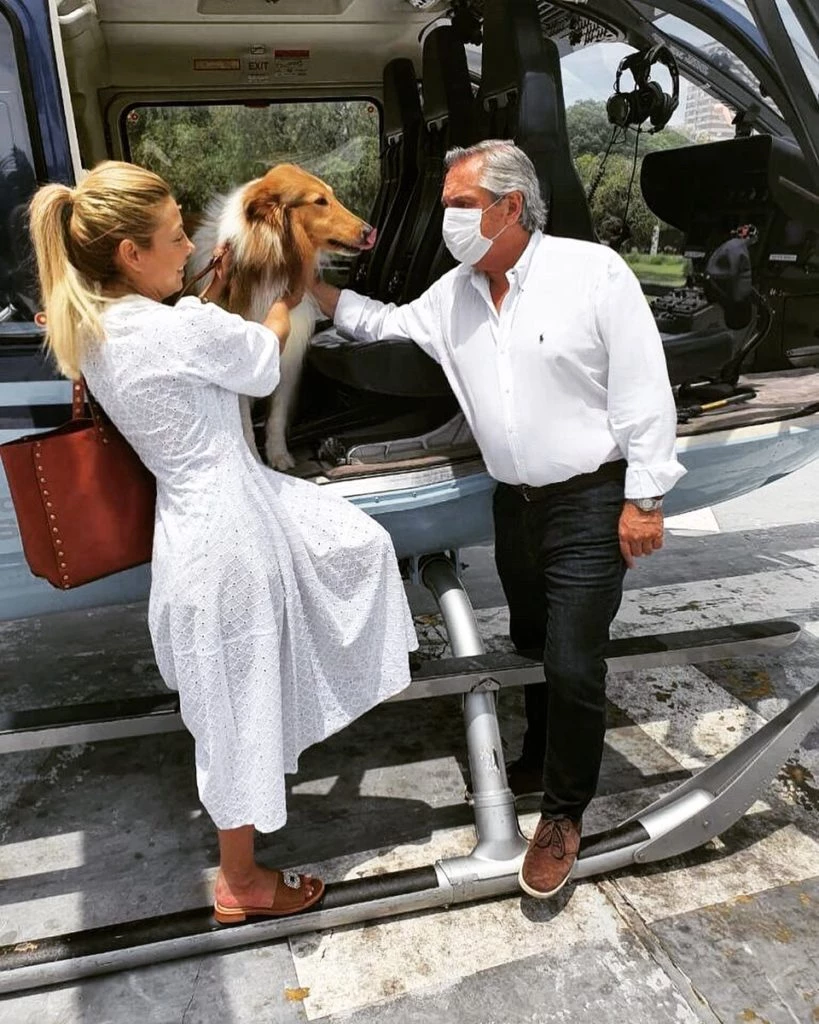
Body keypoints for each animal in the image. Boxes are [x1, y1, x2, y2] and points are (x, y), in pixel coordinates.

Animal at [188, 163, 376, 469]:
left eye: (331, 195)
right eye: (319, 201)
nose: (369, 231)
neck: (273, 263)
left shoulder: (287, 359)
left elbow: (276, 414)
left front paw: (279, 456)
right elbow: (244, 420)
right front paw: (255, 460)